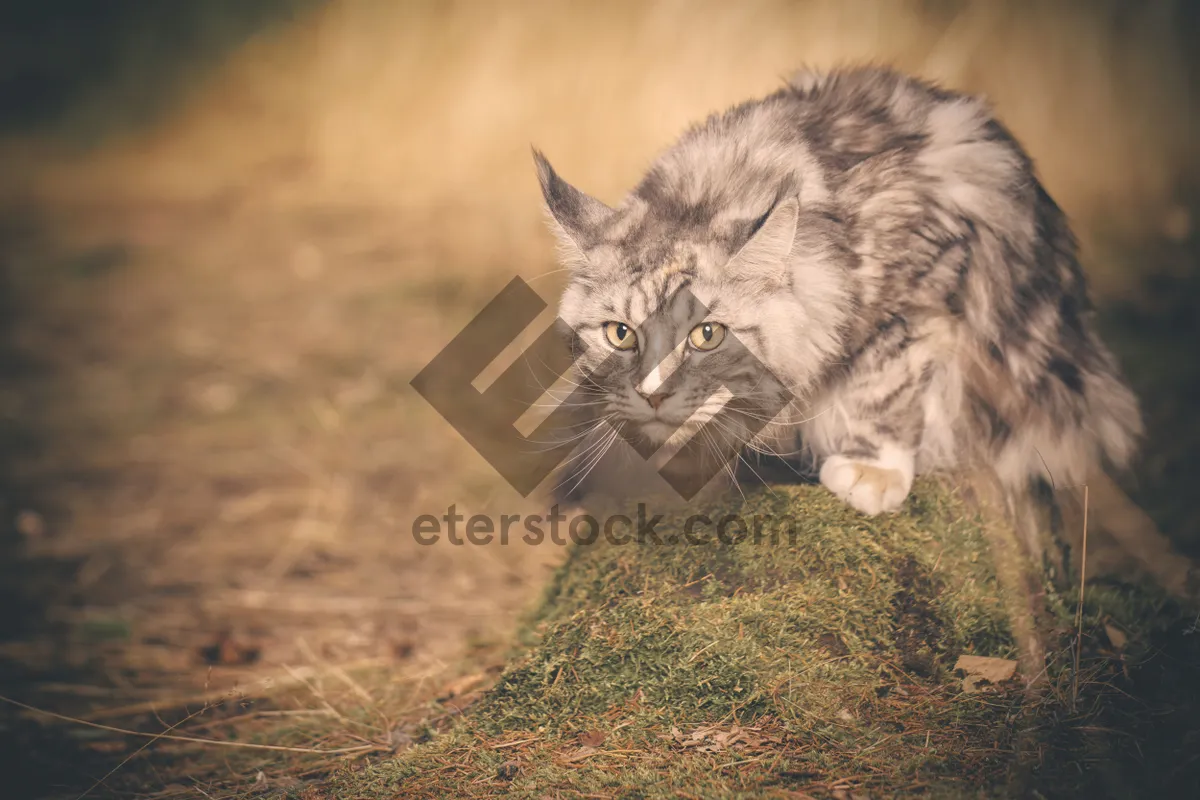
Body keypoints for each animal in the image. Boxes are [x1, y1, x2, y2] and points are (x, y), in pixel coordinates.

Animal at [537, 65, 1200, 597]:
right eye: (620, 334)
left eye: (706, 335)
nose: (652, 394)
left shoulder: (922, 290)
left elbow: (884, 386)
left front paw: (870, 471)